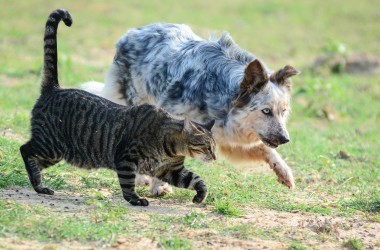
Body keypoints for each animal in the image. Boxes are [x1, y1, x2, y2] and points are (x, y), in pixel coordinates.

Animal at [20, 8, 217, 206]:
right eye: (207, 146)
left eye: (214, 147)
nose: (215, 157)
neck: (172, 146)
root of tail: (54, 89)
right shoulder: (126, 159)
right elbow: (128, 184)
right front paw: (136, 200)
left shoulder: (170, 170)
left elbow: (197, 180)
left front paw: (200, 196)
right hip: (50, 145)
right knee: (25, 150)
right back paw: (38, 183)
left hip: (55, 153)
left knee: (34, 161)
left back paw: (39, 185)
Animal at [84, 23, 300, 195]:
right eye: (266, 111)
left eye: (283, 111)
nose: (285, 139)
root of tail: (132, 33)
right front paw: (159, 186)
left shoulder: (227, 140)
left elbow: (266, 150)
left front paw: (284, 172)